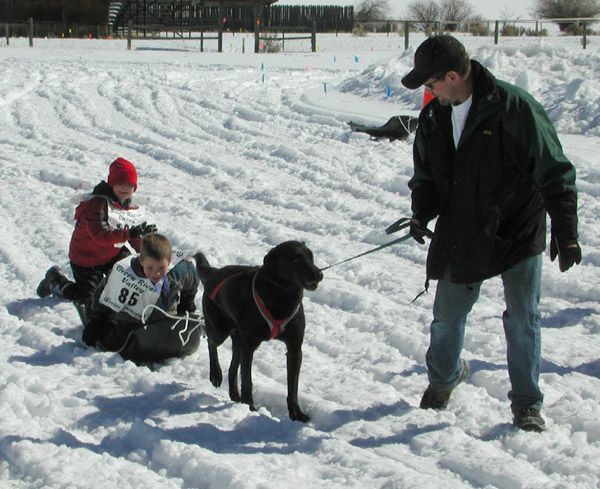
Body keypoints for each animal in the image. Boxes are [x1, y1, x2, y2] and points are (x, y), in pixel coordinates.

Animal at [196, 239, 324, 420]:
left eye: (311, 256)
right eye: (296, 259)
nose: (319, 274)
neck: (281, 296)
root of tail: (214, 272)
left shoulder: (294, 348)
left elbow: (293, 387)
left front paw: (296, 414)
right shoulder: (249, 346)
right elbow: (247, 381)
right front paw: (250, 407)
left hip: (238, 340)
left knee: (233, 367)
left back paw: (235, 396)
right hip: (220, 329)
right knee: (211, 342)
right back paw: (216, 375)